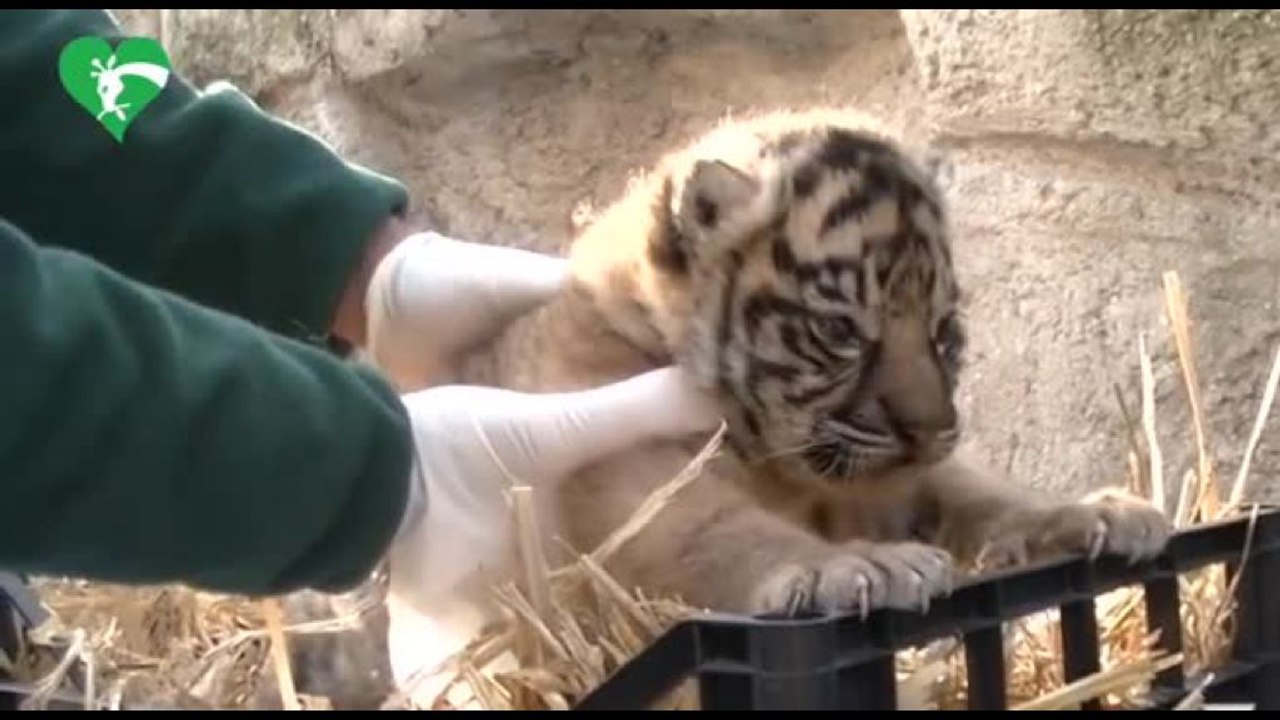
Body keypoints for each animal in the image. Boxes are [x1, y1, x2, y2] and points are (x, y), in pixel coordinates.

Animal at [398, 107, 1172, 621]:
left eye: (945, 331)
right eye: (839, 328)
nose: (931, 429)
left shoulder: (898, 478)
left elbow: (978, 489)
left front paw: (1091, 512)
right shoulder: (630, 478)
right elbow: (721, 530)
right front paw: (852, 566)